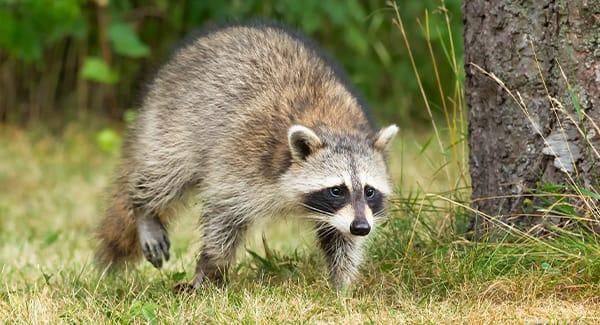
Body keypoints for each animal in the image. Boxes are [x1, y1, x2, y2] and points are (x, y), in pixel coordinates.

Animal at [96, 22, 398, 288]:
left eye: (369, 191)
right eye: (337, 190)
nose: (362, 227)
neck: (333, 126)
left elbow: (341, 239)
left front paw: (341, 284)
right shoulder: (243, 159)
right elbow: (223, 214)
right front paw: (211, 267)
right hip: (176, 123)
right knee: (164, 174)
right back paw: (144, 208)